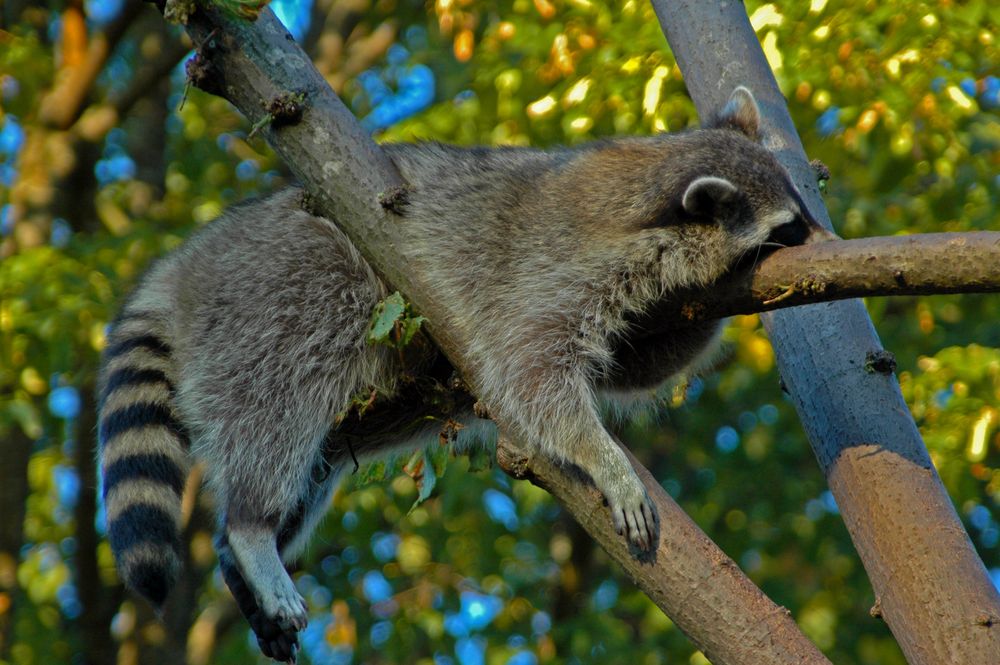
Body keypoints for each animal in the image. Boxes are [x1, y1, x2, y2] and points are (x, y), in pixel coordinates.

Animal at [97, 87, 832, 660]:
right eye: (791, 229)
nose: (831, 243)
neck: (643, 180)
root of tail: (189, 263)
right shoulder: (551, 274)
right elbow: (532, 376)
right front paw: (604, 458)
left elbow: (635, 367)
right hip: (281, 302)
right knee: (275, 420)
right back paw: (252, 530)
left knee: (321, 454)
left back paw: (238, 549)